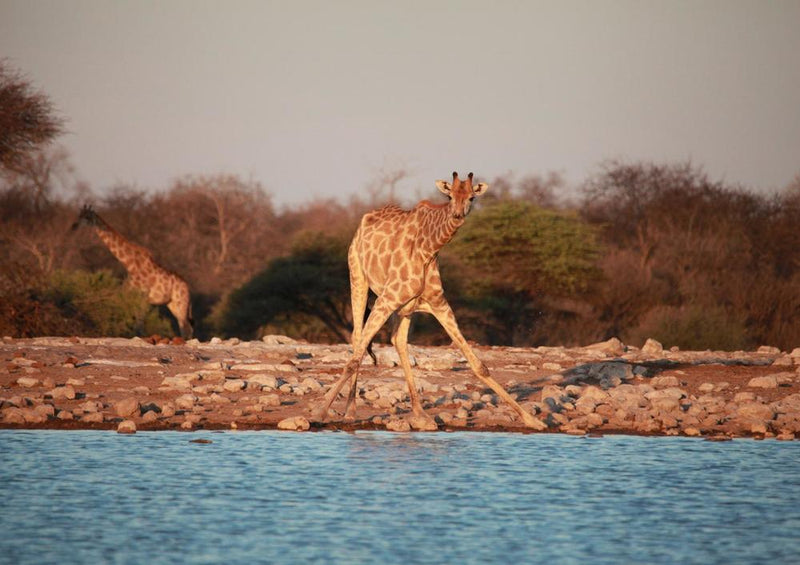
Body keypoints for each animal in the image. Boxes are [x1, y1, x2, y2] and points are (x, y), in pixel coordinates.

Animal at [73, 204, 195, 340]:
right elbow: (129, 317)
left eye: (86, 217)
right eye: (79, 214)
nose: (74, 226)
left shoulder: (143, 296)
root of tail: (188, 288)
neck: (129, 264)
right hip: (172, 304)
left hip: (181, 302)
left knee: (186, 327)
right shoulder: (129, 293)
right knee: (184, 326)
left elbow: (138, 322)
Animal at [316, 171, 548, 428]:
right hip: (358, 277)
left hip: (404, 308)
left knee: (398, 340)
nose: (457, 215)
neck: (428, 249)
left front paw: (532, 420)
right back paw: (350, 411)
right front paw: (319, 411)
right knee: (358, 337)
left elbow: (479, 365)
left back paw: (420, 413)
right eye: (449, 196)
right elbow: (354, 359)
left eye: (471, 197)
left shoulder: (439, 304)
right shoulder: (385, 300)